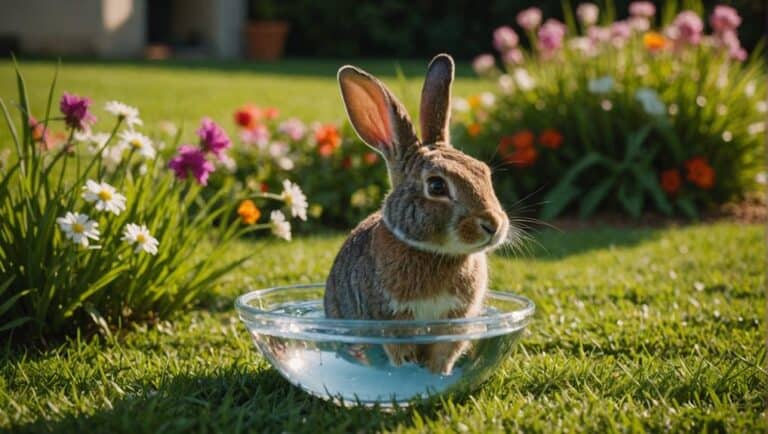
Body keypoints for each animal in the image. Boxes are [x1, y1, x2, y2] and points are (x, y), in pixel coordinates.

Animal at [324, 54, 511, 375]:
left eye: (484, 172)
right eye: (436, 186)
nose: (493, 225)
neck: (434, 252)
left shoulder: (455, 325)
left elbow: (442, 356)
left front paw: (438, 377)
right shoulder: (392, 324)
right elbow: (400, 356)